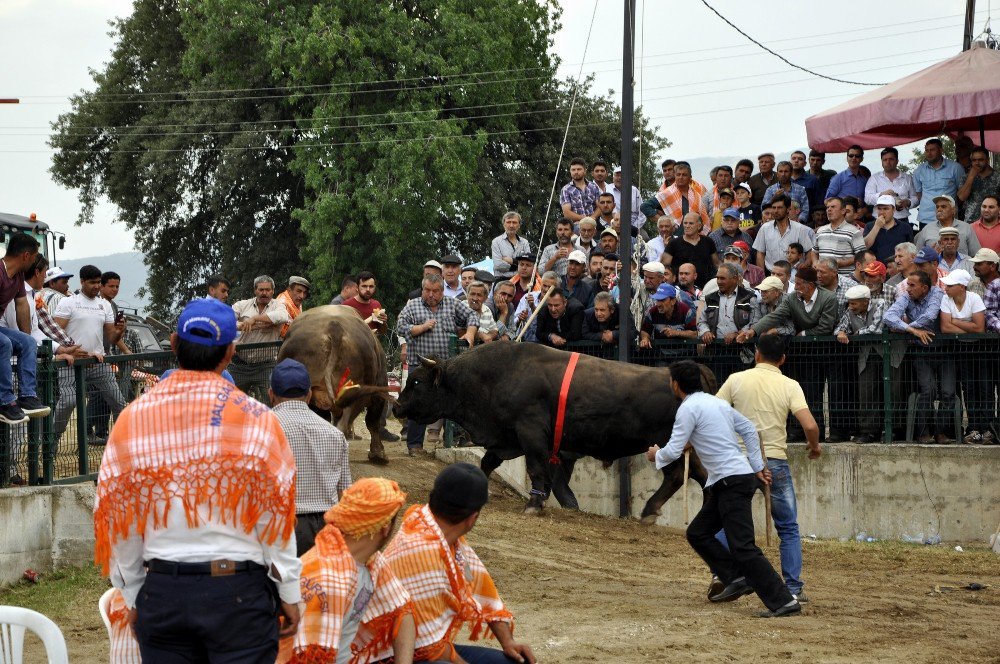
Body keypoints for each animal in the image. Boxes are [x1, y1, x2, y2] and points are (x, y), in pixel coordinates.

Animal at [394, 342, 716, 520]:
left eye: (417, 382)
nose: (396, 407)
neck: (496, 374)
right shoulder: (505, 438)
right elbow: (487, 462)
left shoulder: (531, 433)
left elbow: (537, 469)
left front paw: (535, 504)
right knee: (701, 474)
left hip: (666, 444)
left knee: (677, 475)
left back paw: (650, 510)